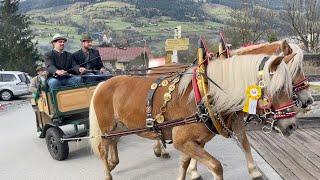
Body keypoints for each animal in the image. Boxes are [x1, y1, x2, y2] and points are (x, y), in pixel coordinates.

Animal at [89, 54, 296, 180]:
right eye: (278, 88)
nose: (292, 125)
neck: (204, 96)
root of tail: (103, 84)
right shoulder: (183, 141)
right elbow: (216, 166)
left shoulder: (195, 142)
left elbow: (184, 164)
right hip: (107, 127)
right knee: (102, 148)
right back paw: (107, 172)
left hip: (120, 126)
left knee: (113, 142)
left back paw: (113, 163)